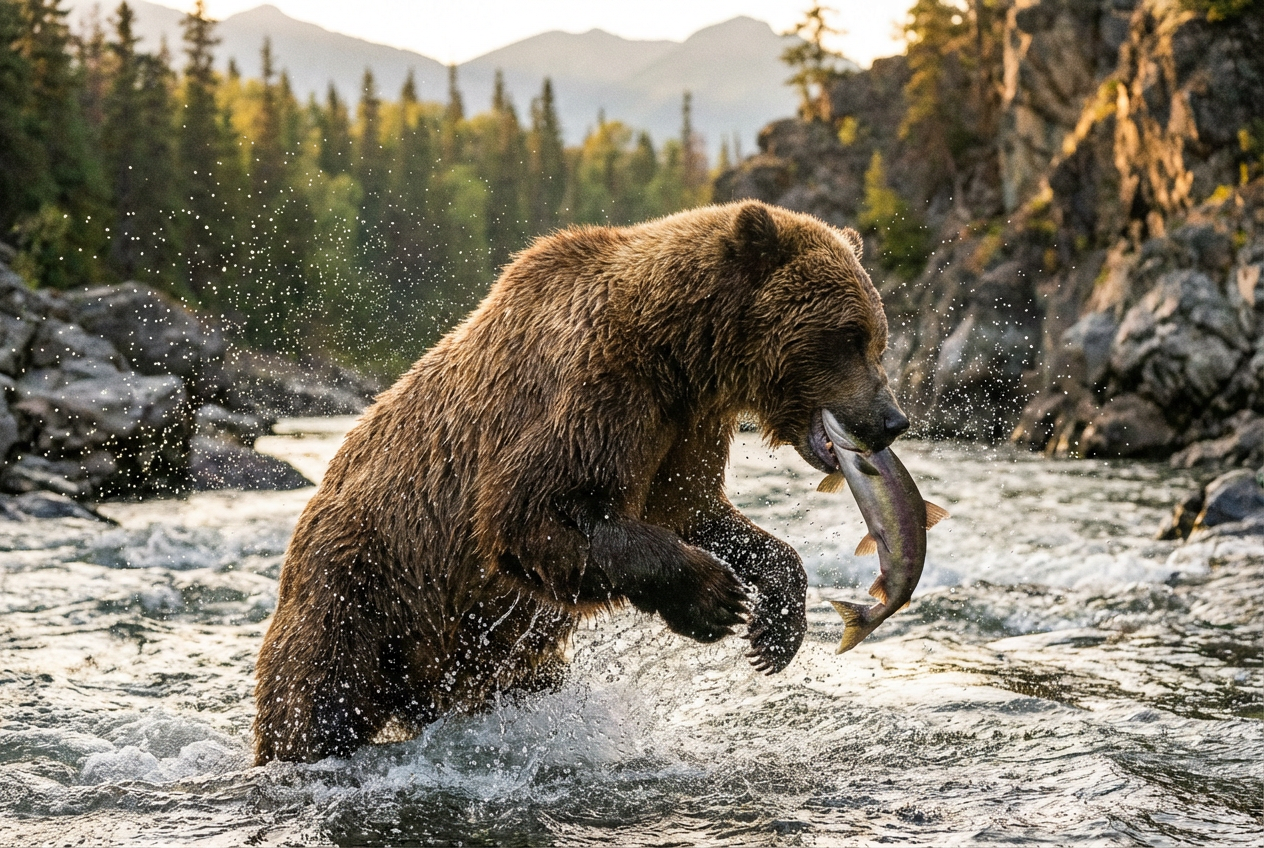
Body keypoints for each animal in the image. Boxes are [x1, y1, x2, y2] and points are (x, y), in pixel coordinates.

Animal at [252, 200, 908, 764]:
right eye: (849, 335)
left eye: (877, 336)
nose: (892, 420)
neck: (679, 352)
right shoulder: (595, 389)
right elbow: (532, 515)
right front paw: (713, 598)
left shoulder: (682, 427)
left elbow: (691, 507)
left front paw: (775, 624)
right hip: (362, 586)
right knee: (315, 698)